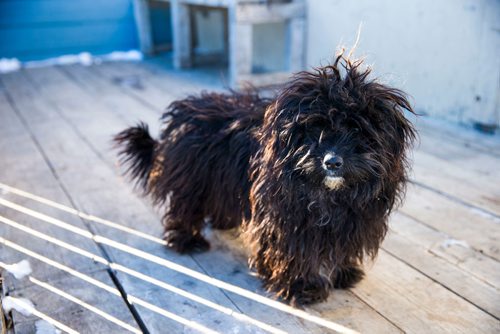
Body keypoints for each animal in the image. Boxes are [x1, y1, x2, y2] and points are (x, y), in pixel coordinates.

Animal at [115, 55, 416, 306]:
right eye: (314, 127)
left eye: (357, 129)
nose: (332, 161)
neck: (330, 196)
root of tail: (182, 114)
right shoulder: (285, 218)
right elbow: (291, 251)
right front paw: (301, 286)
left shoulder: (356, 219)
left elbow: (343, 244)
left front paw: (343, 272)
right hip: (191, 180)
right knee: (184, 208)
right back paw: (186, 240)